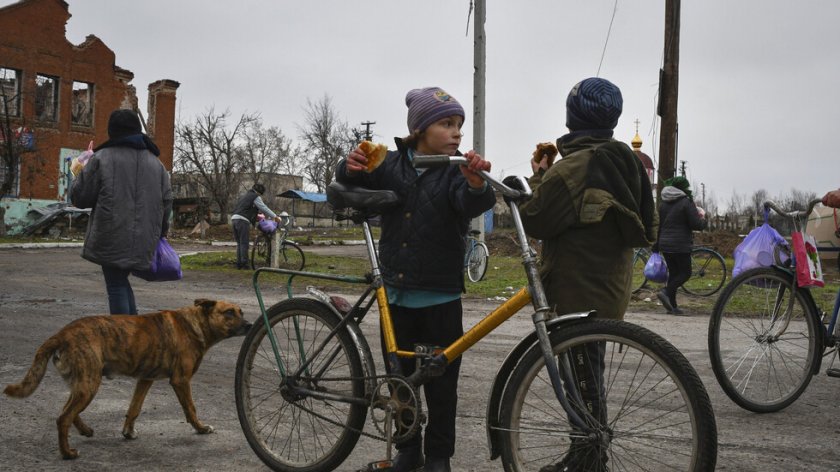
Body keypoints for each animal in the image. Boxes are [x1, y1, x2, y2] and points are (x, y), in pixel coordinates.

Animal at [3, 300, 253, 460]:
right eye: (229, 313)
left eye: (241, 311)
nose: (250, 325)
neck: (197, 324)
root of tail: (62, 334)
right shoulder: (181, 381)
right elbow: (191, 409)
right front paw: (201, 429)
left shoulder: (145, 379)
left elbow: (134, 408)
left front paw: (127, 432)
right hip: (89, 384)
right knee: (63, 418)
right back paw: (67, 453)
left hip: (83, 383)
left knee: (67, 411)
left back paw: (85, 430)